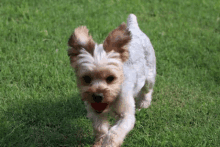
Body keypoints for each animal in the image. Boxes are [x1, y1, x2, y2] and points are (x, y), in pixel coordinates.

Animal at [67, 13, 156, 146]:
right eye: (87, 78)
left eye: (111, 78)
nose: (98, 96)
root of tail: (134, 27)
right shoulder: (95, 111)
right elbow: (100, 128)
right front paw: (99, 142)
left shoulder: (126, 114)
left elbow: (115, 133)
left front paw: (109, 143)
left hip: (149, 74)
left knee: (147, 90)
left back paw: (144, 103)